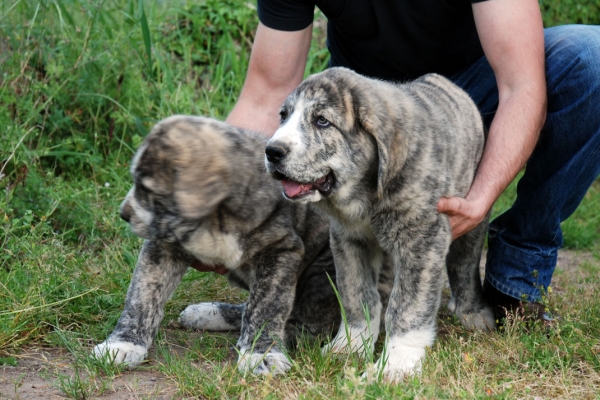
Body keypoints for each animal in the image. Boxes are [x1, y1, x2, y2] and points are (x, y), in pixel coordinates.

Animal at [264, 68, 494, 382]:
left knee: (465, 263)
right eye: (283, 116)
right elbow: (357, 295)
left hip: (474, 216)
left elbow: (408, 306)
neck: (366, 195)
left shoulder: (422, 240)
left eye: (322, 121)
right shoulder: (349, 242)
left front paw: (396, 364)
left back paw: (472, 311)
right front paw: (350, 345)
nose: (272, 151)